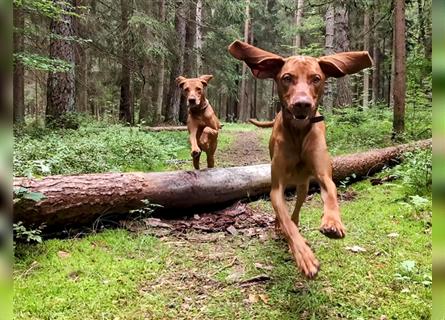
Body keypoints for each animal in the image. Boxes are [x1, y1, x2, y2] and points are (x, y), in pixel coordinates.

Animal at [229, 40, 372, 278]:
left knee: (297, 210)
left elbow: (331, 193)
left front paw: (333, 222)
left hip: (304, 186)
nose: (302, 104)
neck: (298, 132)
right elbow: (286, 221)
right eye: (287, 78)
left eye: (316, 78)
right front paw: (303, 255)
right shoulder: (276, 188)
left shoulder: (323, 174)